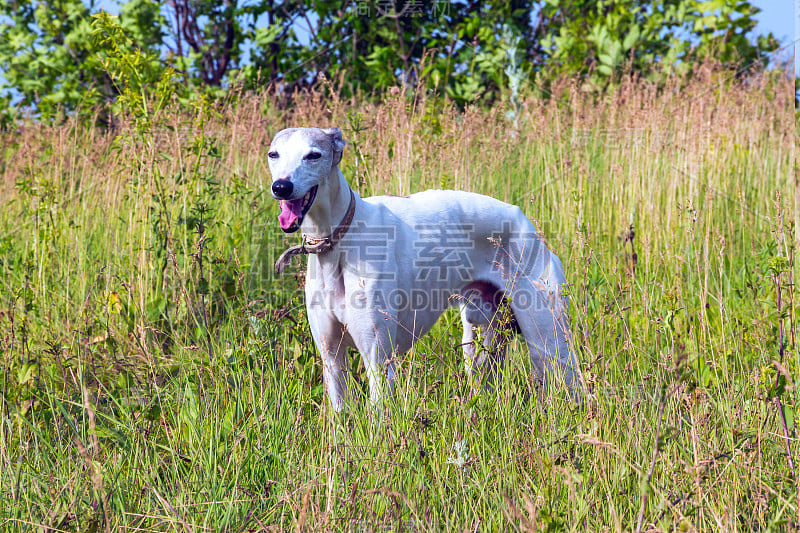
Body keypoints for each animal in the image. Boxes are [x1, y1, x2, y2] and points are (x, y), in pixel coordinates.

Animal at [268, 127, 580, 410]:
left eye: (313, 155)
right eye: (274, 154)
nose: (281, 187)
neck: (338, 241)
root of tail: (530, 229)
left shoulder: (378, 361)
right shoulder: (332, 357)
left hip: (548, 341)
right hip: (482, 342)